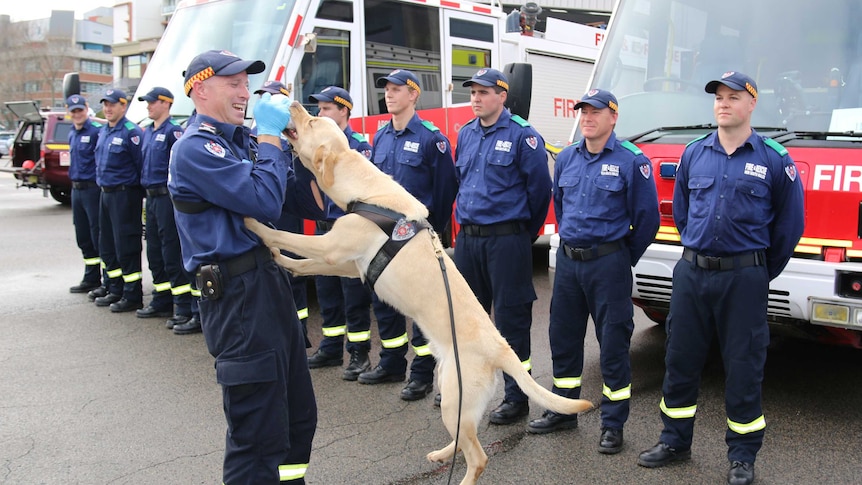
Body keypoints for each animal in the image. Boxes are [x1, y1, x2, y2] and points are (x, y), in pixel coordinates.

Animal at [246, 101, 592, 480]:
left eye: (311, 122)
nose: (294, 103)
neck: (366, 191)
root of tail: (502, 349)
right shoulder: (346, 263)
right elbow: (304, 262)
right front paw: (283, 261)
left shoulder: (331, 247)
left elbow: (286, 236)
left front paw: (255, 225)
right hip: (452, 394)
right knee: (464, 437)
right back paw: (441, 454)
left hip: (454, 396)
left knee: (478, 457)